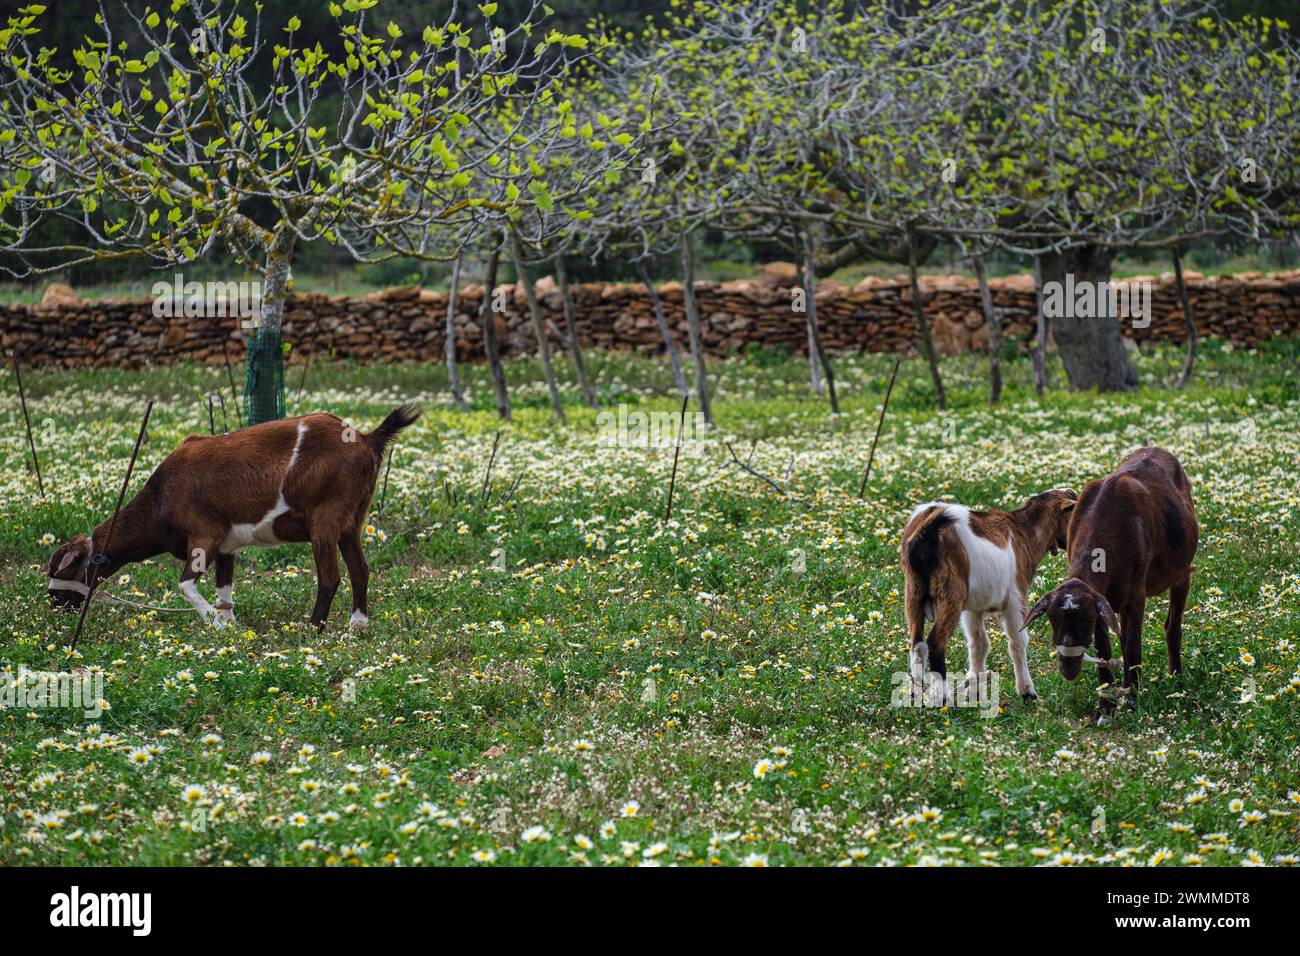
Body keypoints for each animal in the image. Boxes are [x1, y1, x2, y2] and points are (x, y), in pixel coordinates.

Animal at [45, 403, 418, 629]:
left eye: (68, 568)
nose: (53, 603)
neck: (160, 500)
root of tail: (368, 439)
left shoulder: (205, 534)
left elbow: (185, 585)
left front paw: (216, 626)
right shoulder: (226, 547)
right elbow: (225, 592)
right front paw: (232, 628)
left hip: (325, 519)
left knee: (330, 577)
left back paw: (312, 630)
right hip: (351, 521)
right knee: (360, 570)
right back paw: (357, 626)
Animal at [904, 494, 1076, 702]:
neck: (1024, 534)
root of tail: (926, 532)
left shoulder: (974, 610)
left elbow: (979, 644)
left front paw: (975, 691)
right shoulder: (1015, 599)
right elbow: (1017, 642)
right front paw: (1027, 691)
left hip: (913, 592)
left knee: (917, 644)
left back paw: (915, 693)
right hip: (950, 593)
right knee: (936, 642)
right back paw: (943, 698)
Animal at [1024, 447, 1196, 717]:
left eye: (1085, 620)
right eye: (1052, 619)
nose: (1068, 667)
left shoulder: (1134, 599)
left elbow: (1133, 648)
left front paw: (1133, 700)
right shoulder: (1102, 604)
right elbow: (1105, 651)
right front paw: (1105, 707)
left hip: (1182, 574)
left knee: (1172, 626)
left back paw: (1175, 676)